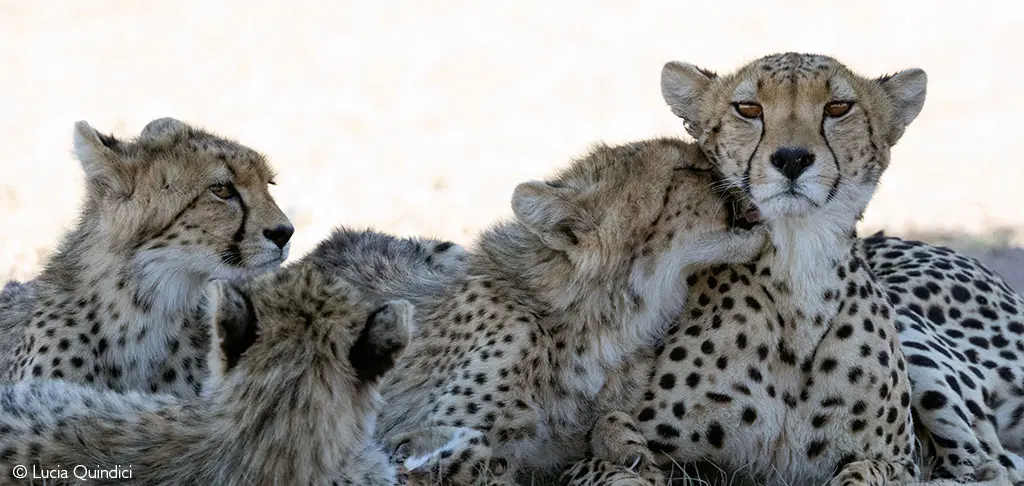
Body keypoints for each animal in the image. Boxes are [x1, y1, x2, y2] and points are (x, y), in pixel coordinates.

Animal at [613, 52, 929, 486]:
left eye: (838, 107)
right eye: (748, 109)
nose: (792, 158)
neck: (798, 265)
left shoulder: (899, 462)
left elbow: (859, 474)